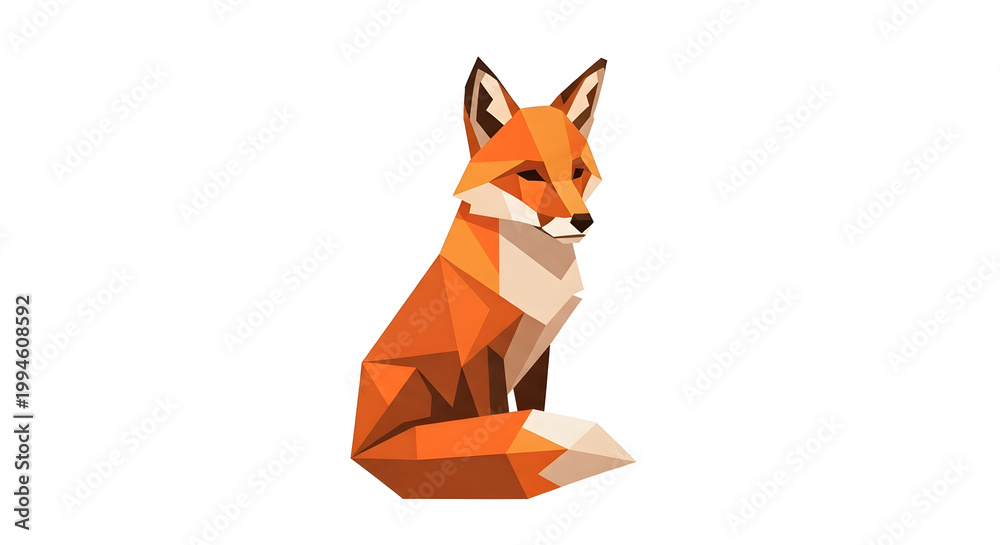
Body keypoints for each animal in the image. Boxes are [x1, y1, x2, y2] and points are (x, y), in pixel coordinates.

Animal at [351, 58, 633, 499]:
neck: (536, 276)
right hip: (413, 381)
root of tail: (359, 449)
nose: (582, 220)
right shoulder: (482, 354)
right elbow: (498, 421)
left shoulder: (538, 347)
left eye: (577, 172)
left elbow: (533, 409)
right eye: (531, 175)